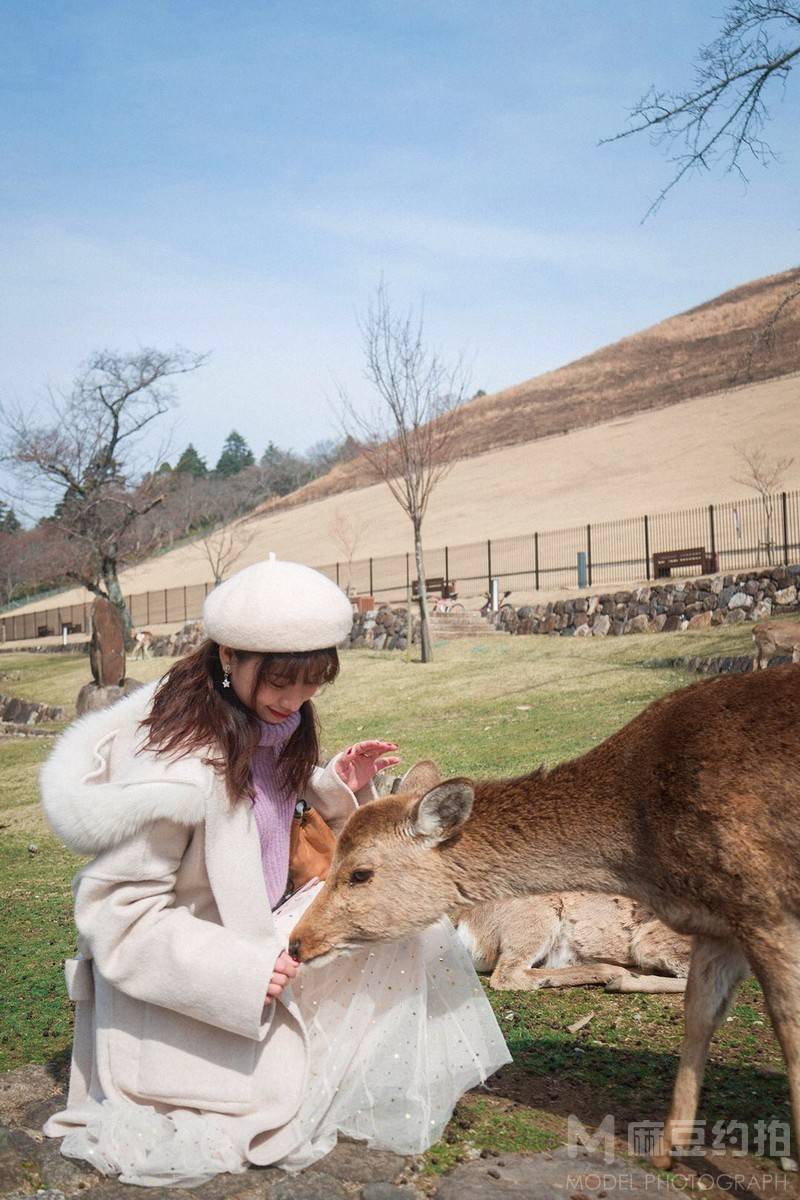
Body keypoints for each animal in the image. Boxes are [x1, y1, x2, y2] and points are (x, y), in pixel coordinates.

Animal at [292, 662, 800, 1166]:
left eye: (360, 873)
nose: (297, 941)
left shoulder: (749, 914)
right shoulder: (736, 916)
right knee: (512, 974)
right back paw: (607, 972)